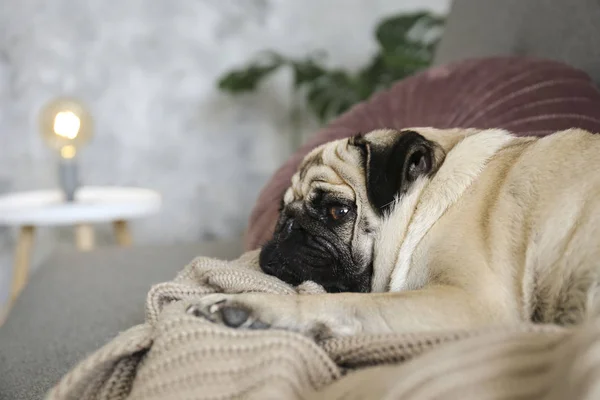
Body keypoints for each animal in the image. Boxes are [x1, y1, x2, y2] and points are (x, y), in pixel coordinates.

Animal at [196, 127, 600, 338]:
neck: (431, 198)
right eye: (281, 212)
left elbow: (345, 303)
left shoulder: (473, 301)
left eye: (337, 211)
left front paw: (249, 306)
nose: (289, 228)